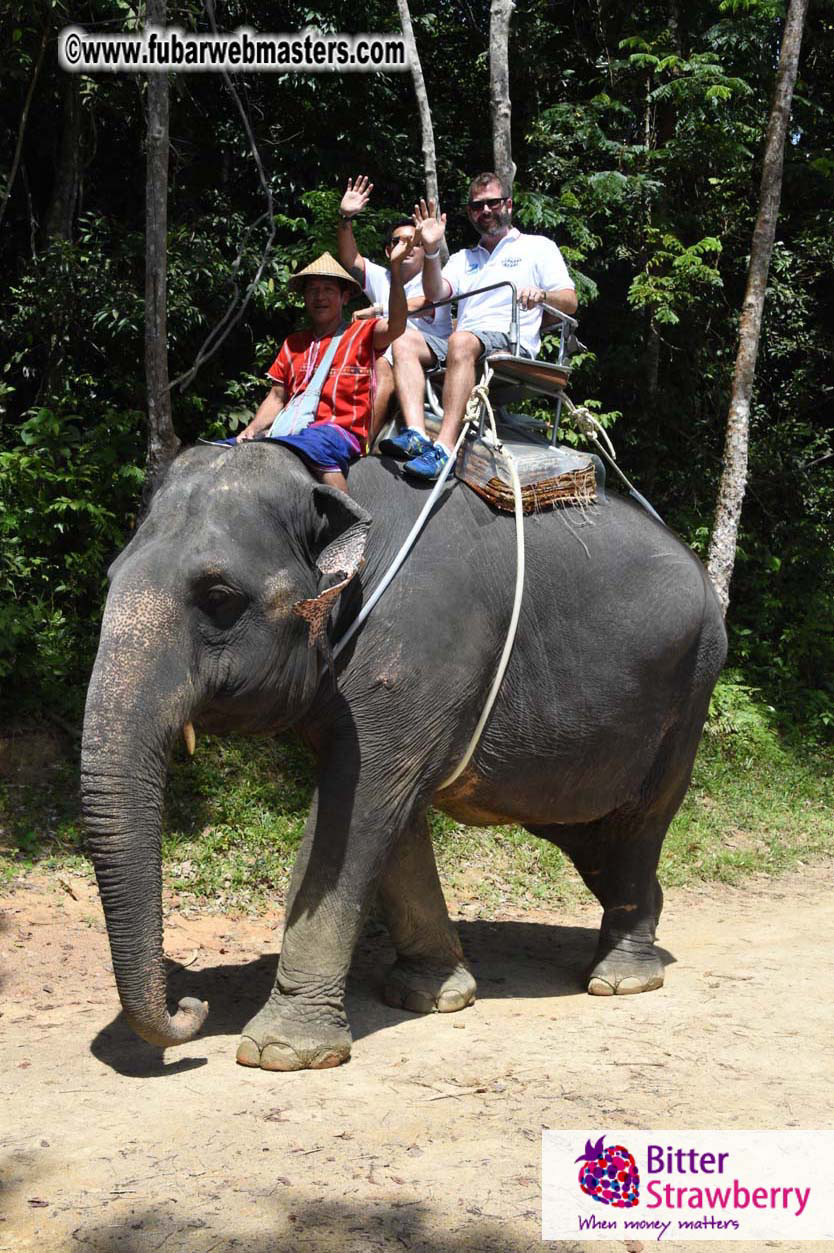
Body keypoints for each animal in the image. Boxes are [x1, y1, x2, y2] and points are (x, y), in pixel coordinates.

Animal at [81, 441, 726, 1071]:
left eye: (218, 597)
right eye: (109, 577)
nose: (192, 1006)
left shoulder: (418, 646)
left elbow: (355, 812)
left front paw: (282, 1051)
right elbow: (393, 816)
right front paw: (433, 996)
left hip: (690, 690)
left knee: (640, 826)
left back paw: (622, 980)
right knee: (594, 840)